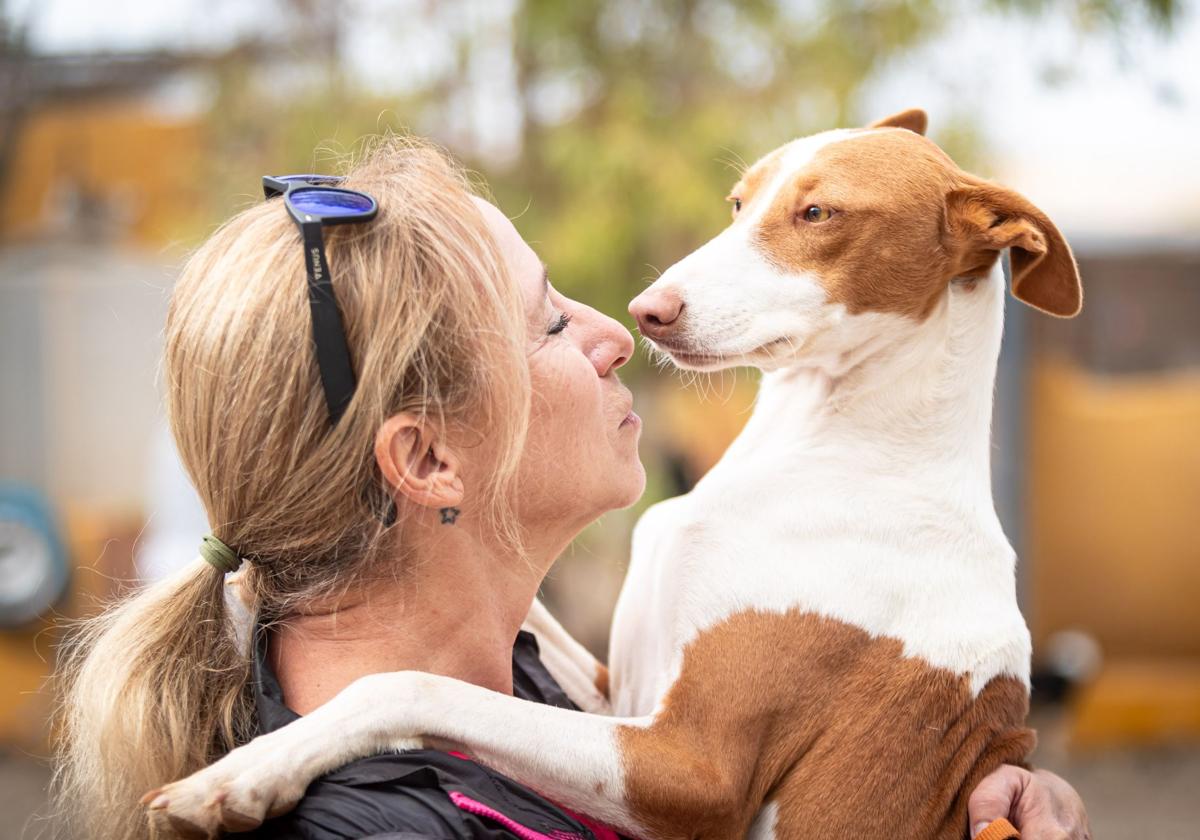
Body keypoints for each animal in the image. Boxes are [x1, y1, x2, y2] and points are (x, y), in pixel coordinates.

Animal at [147, 111, 1080, 840]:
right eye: (739, 203)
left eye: (819, 212)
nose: (647, 312)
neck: (824, 447)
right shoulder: (619, 696)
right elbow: (533, 623)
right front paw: (243, 592)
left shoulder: (692, 770)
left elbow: (409, 683)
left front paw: (239, 775)